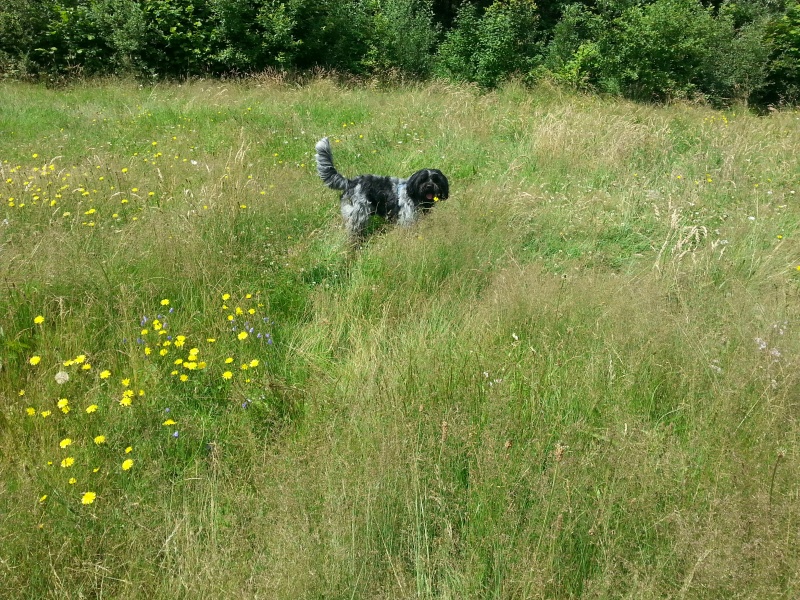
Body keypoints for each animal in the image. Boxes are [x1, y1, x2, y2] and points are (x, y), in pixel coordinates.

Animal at [315, 137, 449, 238]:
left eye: (436, 180)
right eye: (422, 180)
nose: (429, 186)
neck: (414, 195)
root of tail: (352, 182)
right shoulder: (407, 219)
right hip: (358, 216)